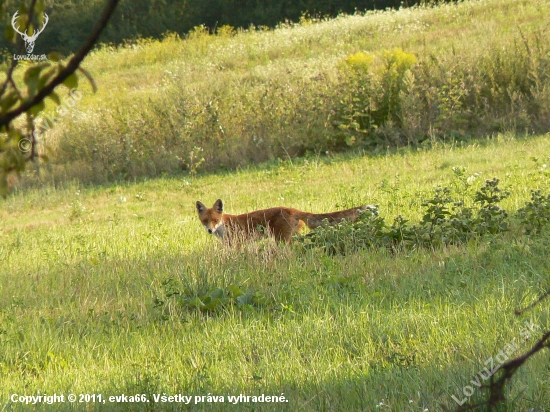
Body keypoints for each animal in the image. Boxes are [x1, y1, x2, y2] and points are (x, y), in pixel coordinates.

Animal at [196, 199, 368, 243]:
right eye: (205, 221)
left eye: (215, 220)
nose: (210, 230)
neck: (223, 226)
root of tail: (293, 209)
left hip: (280, 240)